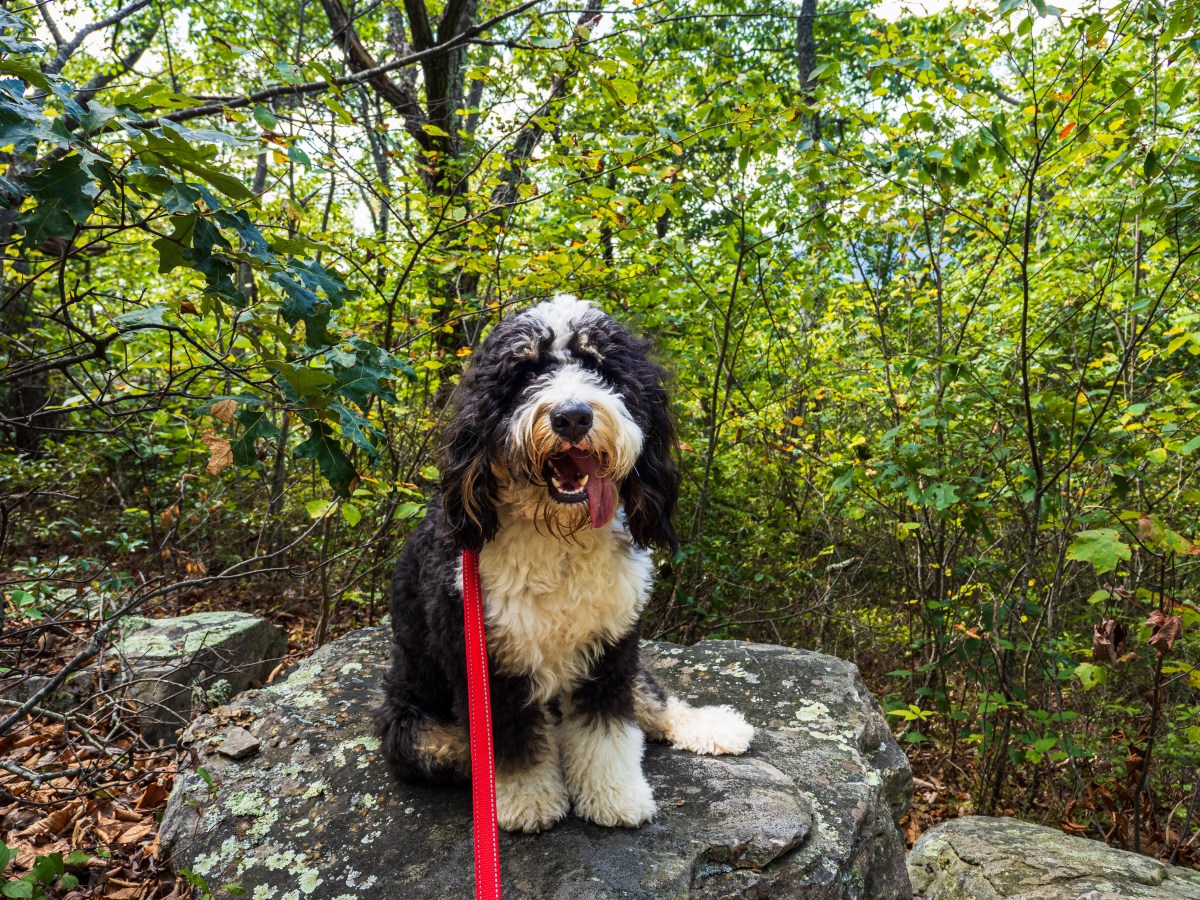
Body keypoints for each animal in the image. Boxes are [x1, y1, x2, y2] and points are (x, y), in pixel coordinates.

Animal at [374, 294, 753, 830]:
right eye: (525, 371)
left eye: (600, 366)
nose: (572, 417)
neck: (559, 537)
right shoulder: (486, 659)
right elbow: (510, 741)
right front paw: (528, 798)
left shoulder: (611, 645)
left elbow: (608, 727)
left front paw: (614, 793)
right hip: (415, 729)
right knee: (459, 748)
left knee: (648, 698)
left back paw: (712, 726)